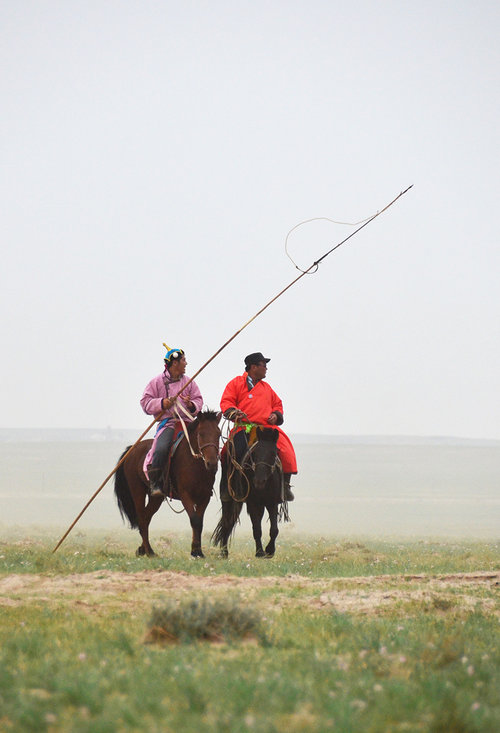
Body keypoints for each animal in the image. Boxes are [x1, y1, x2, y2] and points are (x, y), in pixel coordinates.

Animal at [116, 408, 222, 556]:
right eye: (201, 434)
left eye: (218, 434)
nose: (212, 463)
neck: (194, 464)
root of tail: (131, 450)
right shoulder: (185, 495)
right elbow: (194, 520)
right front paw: (195, 552)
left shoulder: (204, 496)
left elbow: (199, 523)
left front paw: (198, 551)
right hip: (137, 491)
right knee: (142, 519)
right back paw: (149, 552)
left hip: (156, 497)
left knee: (146, 517)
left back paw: (143, 549)